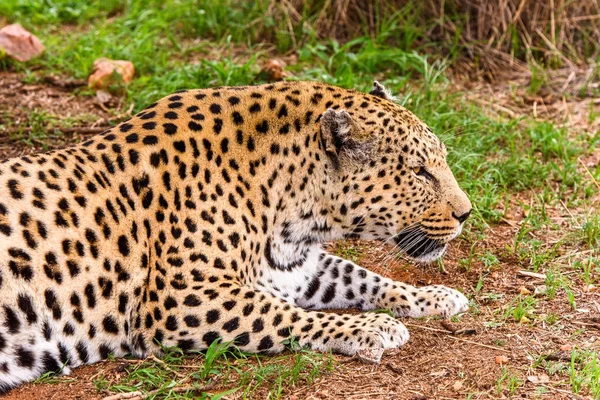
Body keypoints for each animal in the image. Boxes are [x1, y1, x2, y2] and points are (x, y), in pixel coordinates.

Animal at [0, 80, 472, 390]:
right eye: (420, 172)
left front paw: (434, 297)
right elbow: (283, 314)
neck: (292, 210)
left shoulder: (296, 266)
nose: (467, 213)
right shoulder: (179, 299)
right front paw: (373, 327)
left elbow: (361, 276)